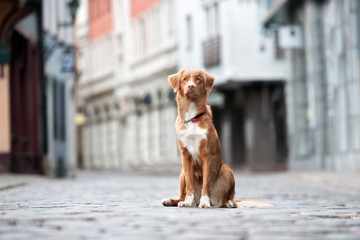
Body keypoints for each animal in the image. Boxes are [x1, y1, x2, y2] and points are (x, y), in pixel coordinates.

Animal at [162, 69, 272, 208]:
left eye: (198, 79)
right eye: (185, 79)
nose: (191, 86)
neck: (192, 118)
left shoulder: (207, 155)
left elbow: (206, 184)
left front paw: (204, 203)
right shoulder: (185, 155)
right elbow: (190, 185)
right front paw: (187, 202)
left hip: (227, 169)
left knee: (226, 198)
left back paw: (228, 203)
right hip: (182, 173)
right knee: (182, 194)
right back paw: (175, 201)